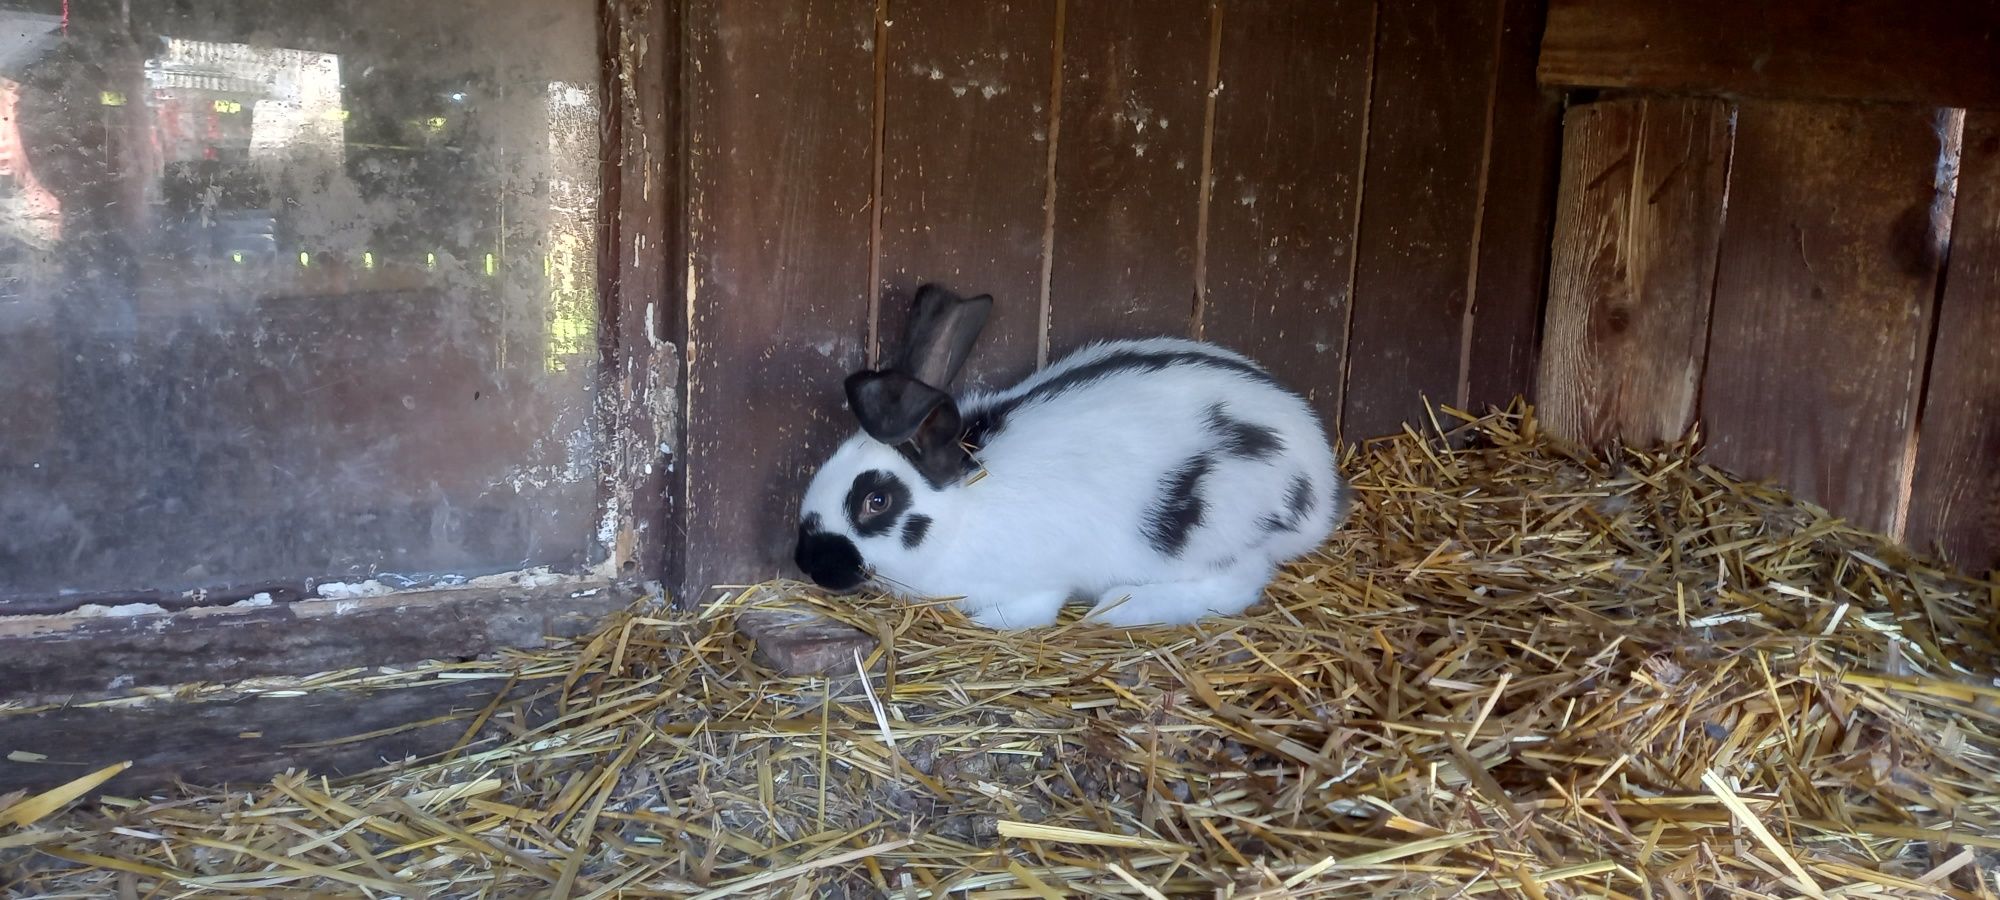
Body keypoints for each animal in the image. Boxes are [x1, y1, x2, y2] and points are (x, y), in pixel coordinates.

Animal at [792, 284, 1344, 628]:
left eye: (877, 502)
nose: (807, 561)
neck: (962, 511)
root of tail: (1322, 484)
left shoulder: (1034, 580)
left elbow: (1030, 609)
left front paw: (991, 621)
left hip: (1214, 527)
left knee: (1237, 585)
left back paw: (1122, 607)